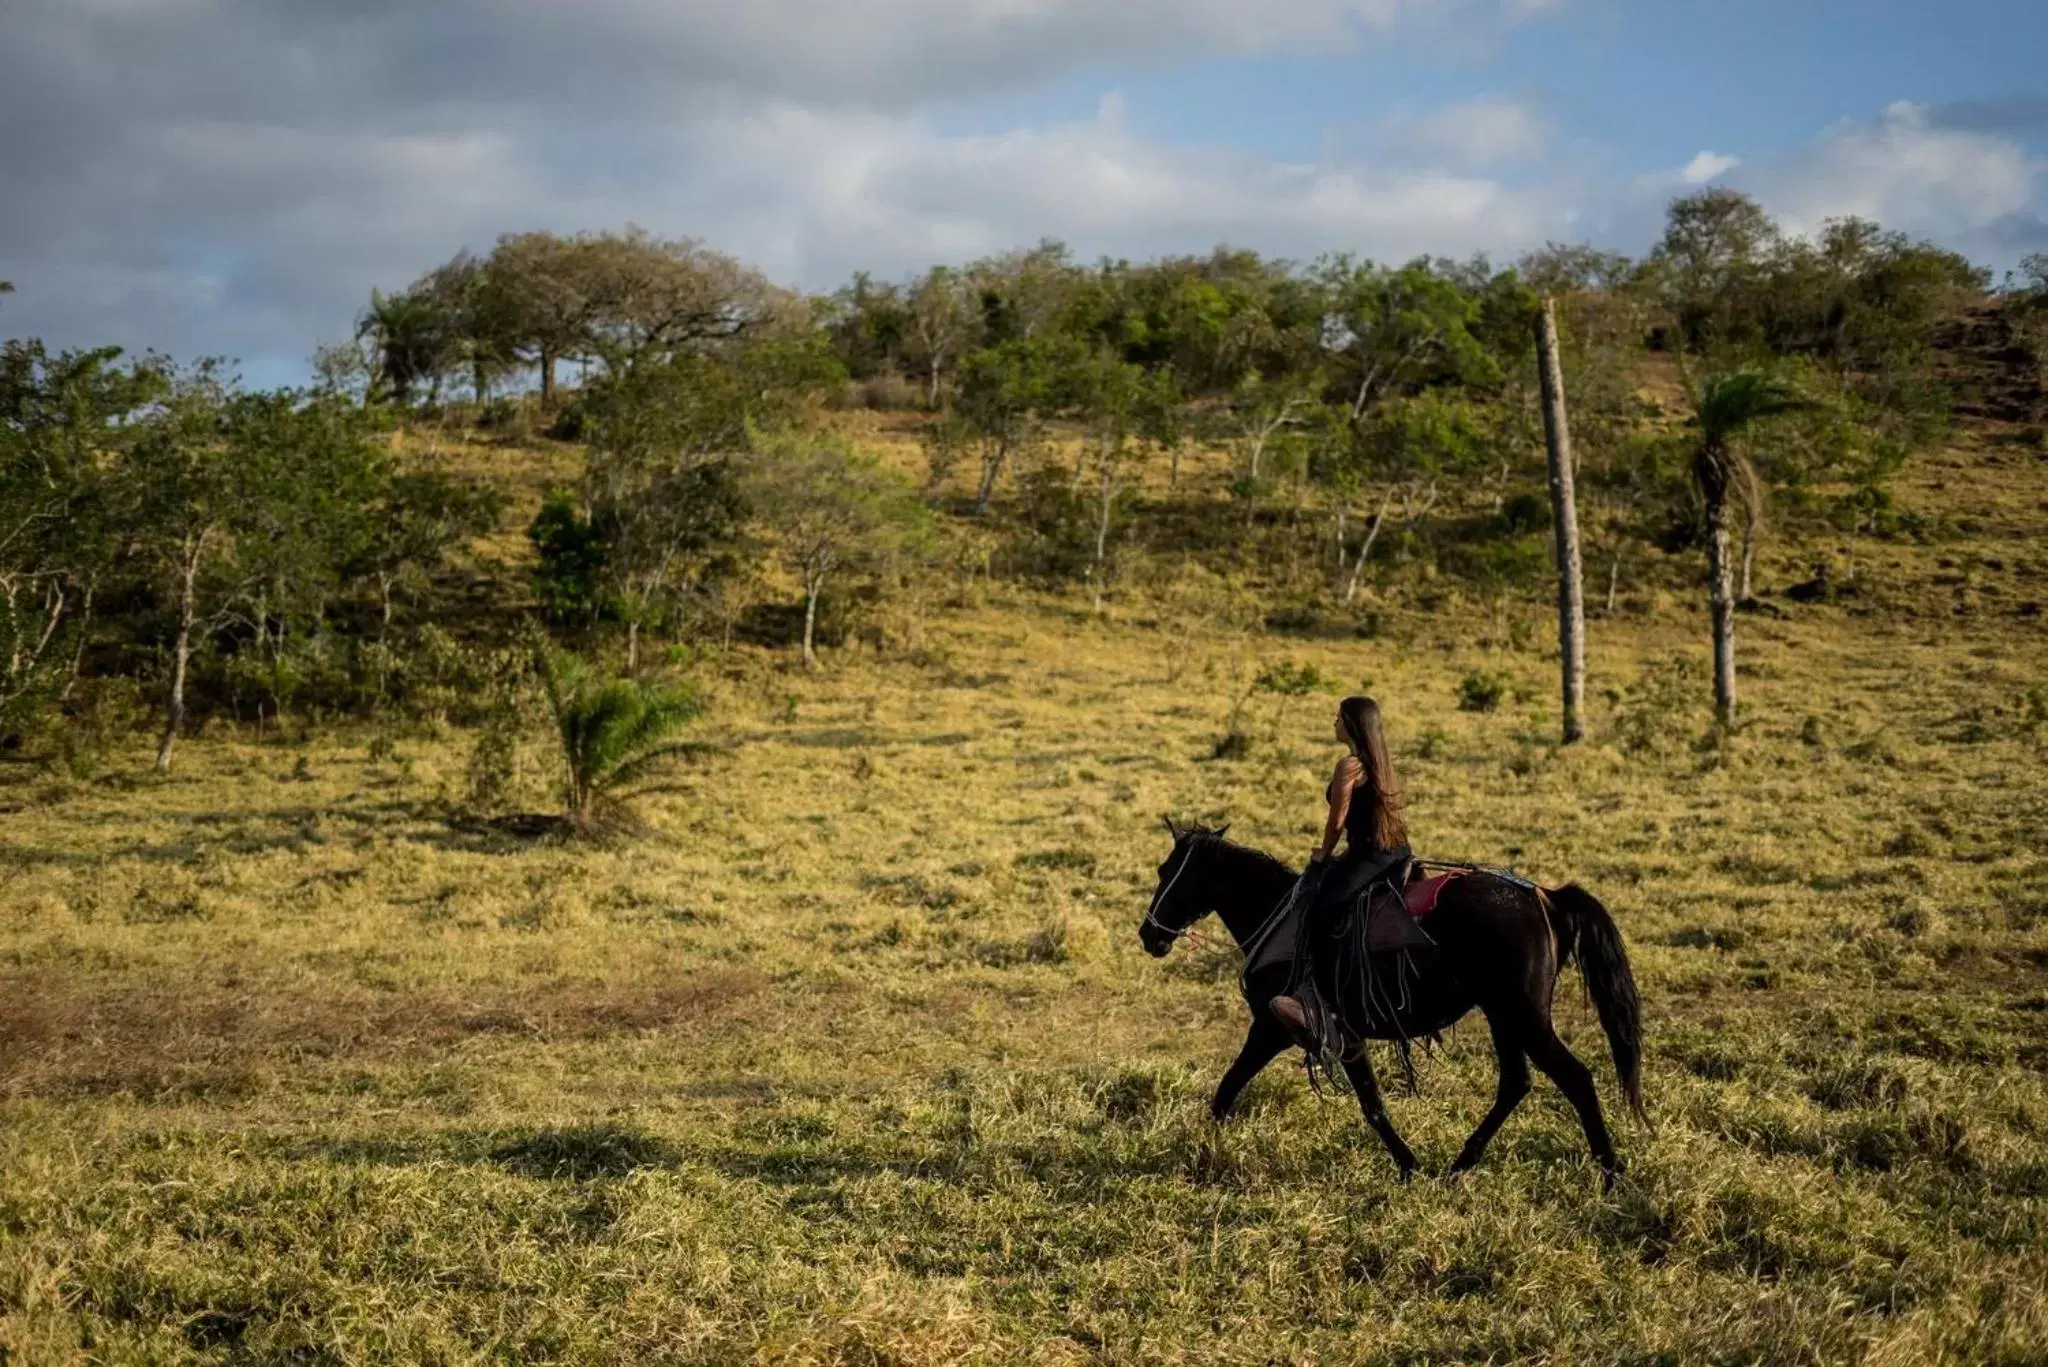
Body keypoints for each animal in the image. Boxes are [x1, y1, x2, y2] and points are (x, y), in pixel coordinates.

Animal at [1138, 823, 1646, 1188]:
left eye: (1166, 871)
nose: (1149, 935)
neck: (1278, 915)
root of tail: (1546, 898)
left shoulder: (1280, 1028)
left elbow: (1238, 1089)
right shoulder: (1311, 1034)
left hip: (1524, 1016)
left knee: (1575, 1079)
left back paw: (1611, 1178)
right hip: (1503, 1016)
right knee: (1515, 1084)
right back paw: (1460, 1166)